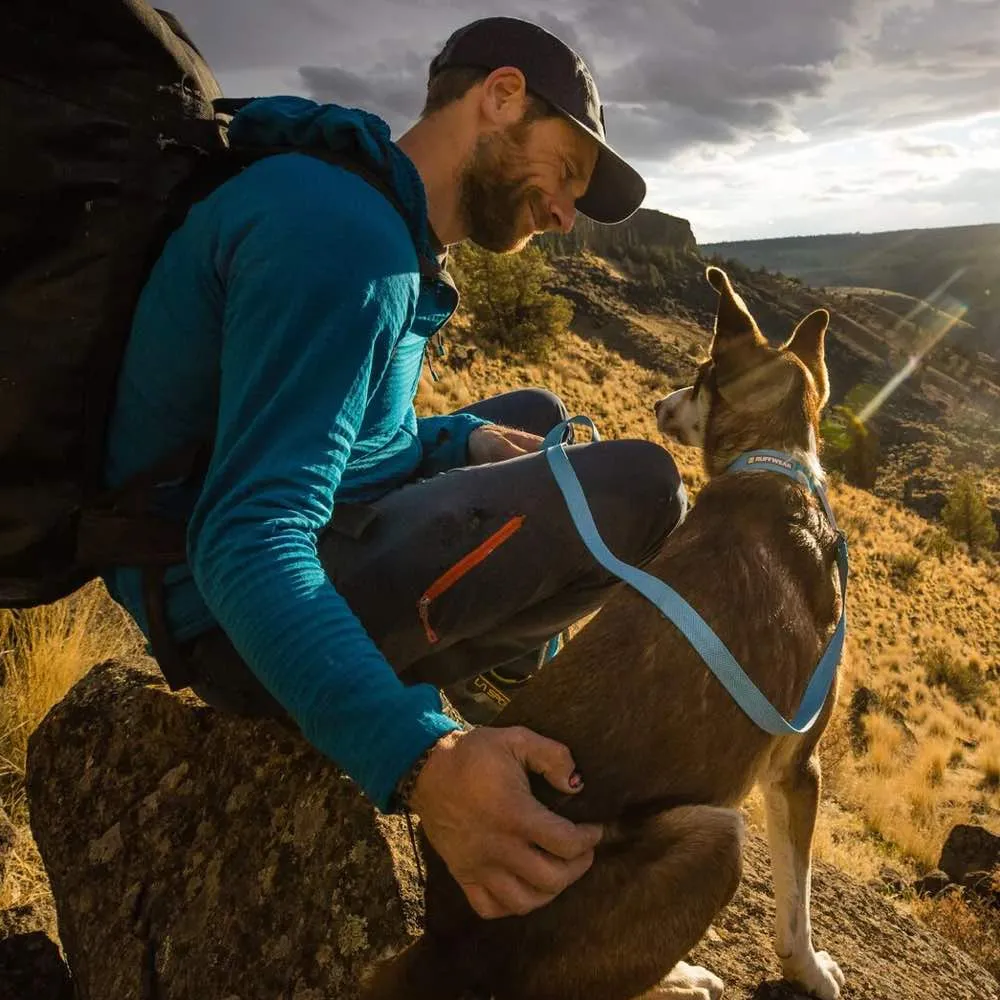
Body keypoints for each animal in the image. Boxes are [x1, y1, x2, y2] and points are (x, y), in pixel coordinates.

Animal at [364, 268, 848, 1000]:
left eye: (699, 376)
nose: (658, 403)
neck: (774, 462)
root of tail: (445, 937)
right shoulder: (798, 763)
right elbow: (798, 899)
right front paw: (812, 970)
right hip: (713, 838)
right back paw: (681, 977)